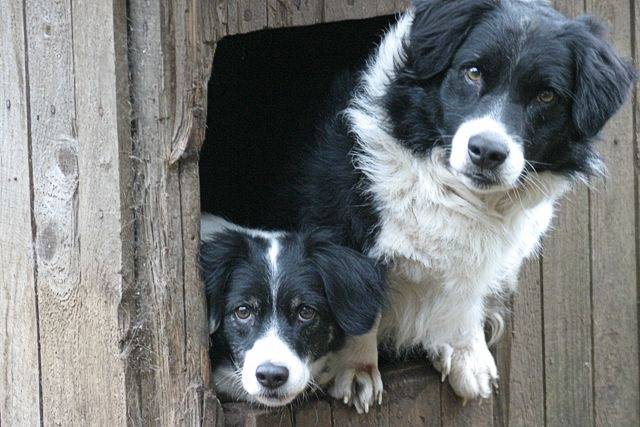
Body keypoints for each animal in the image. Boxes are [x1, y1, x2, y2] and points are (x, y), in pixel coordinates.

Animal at [284, 0, 636, 412]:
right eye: (473, 72)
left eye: (546, 96)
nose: (487, 152)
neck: (456, 189)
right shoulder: (336, 219)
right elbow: (357, 301)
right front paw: (355, 369)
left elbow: (467, 290)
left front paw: (468, 353)